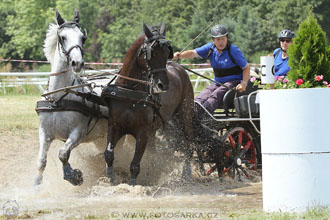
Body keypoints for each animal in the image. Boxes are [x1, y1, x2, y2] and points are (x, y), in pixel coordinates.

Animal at [100, 22, 193, 185]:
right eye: (153, 53)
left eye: (166, 53)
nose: (163, 85)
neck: (130, 90)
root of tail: (179, 68)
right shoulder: (115, 126)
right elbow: (109, 154)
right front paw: (111, 178)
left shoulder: (142, 132)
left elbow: (135, 164)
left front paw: (132, 184)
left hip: (185, 117)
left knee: (187, 145)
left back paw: (186, 175)